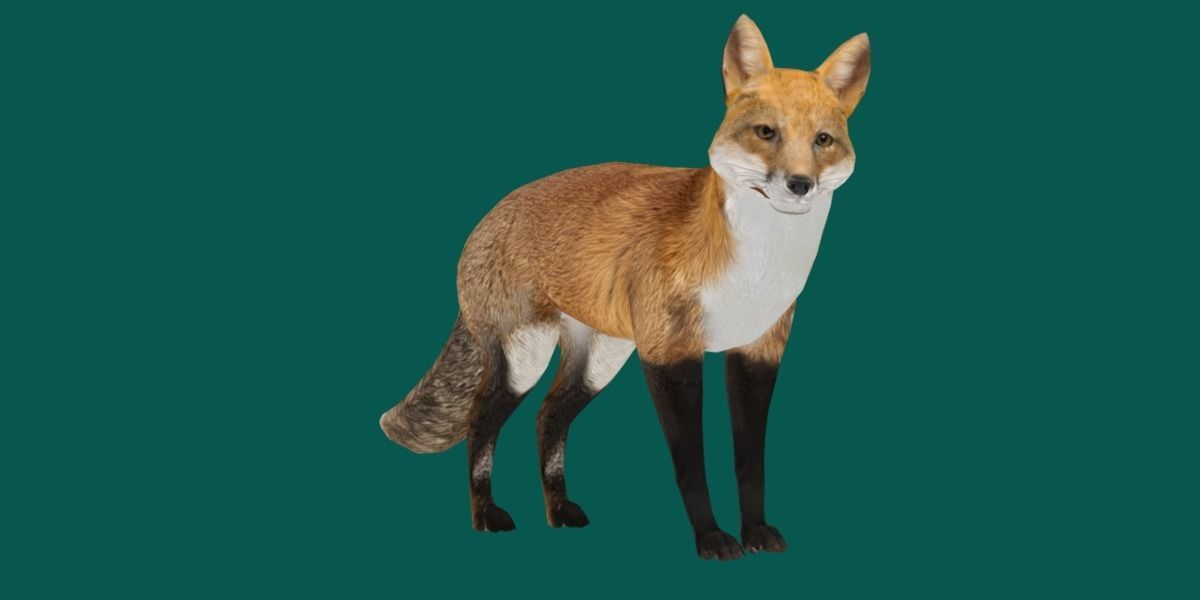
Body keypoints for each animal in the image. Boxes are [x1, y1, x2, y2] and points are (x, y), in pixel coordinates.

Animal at [380, 15, 870, 560]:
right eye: (767, 132)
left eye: (823, 140)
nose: (800, 184)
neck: (754, 269)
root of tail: (488, 215)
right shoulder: (671, 355)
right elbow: (691, 465)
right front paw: (711, 538)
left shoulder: (757, 353)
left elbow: (750, 463)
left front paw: (756, 532)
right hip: (526, 359)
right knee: (480, 418)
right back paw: (486, 513)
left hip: (600, 360)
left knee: (548, 416)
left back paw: (559, 510)